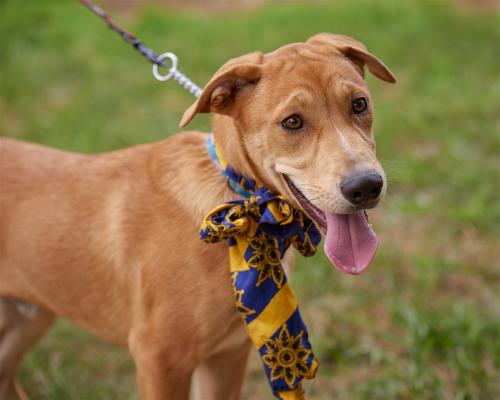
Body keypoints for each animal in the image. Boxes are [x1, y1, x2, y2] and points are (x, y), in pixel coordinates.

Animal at [0, 34, 394, 400]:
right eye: (292, 122)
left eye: (359, 104)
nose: (365, 186)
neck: (242, 209)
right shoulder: (160, 359)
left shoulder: (226, 357)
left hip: (25, 321)